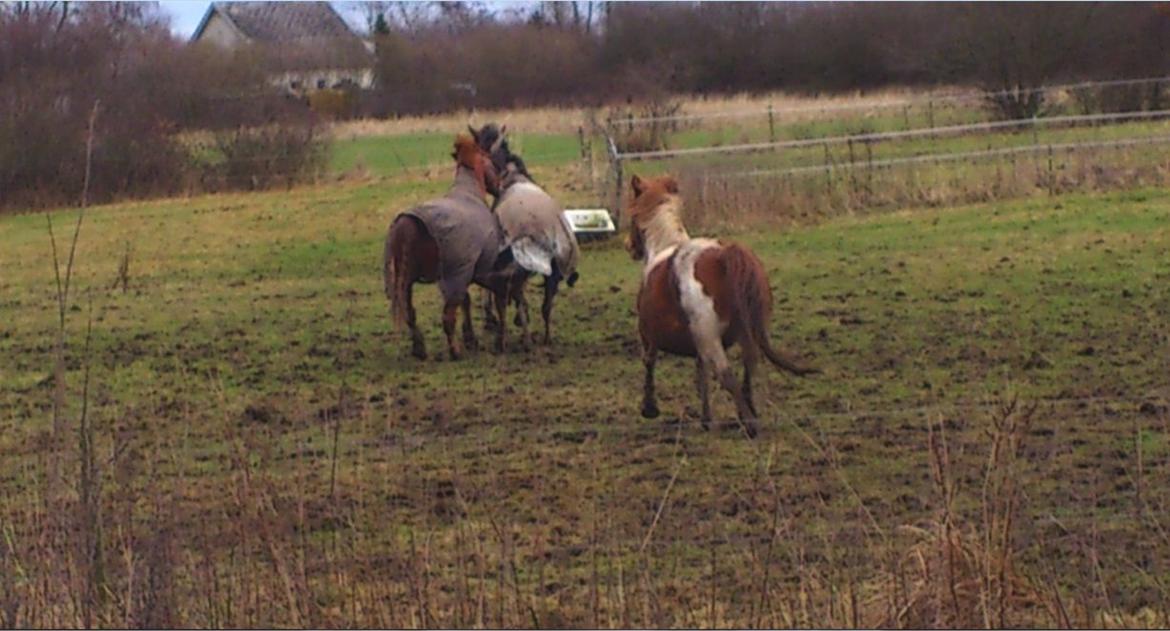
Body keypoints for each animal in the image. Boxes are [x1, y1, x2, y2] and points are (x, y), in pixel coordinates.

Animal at [383, 133, 512, 360]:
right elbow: (467, 302)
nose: (500, 186)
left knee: (410, 313)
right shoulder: (467, 271)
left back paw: (419, 348)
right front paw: (470, 338)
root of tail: (406, 223)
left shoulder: (465, 273)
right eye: (490, 161)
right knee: (447, 316)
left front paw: (470, 337)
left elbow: (466, 301)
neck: (468, 194)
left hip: (405, 281)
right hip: (449, 276)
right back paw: (455, 351)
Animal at [627, 174, 819, 440]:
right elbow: (702, 374)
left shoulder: (649, 335)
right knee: (748, 365)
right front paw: (706, 419)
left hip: (711, 339)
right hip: (743, 332)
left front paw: (649, 408)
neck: (665, 245)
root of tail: (724, 255)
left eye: (631, 214)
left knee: (727, 374)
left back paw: (750, 423)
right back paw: (749, 411)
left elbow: (649, 363)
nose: (629, 246)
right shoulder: (697, 342)